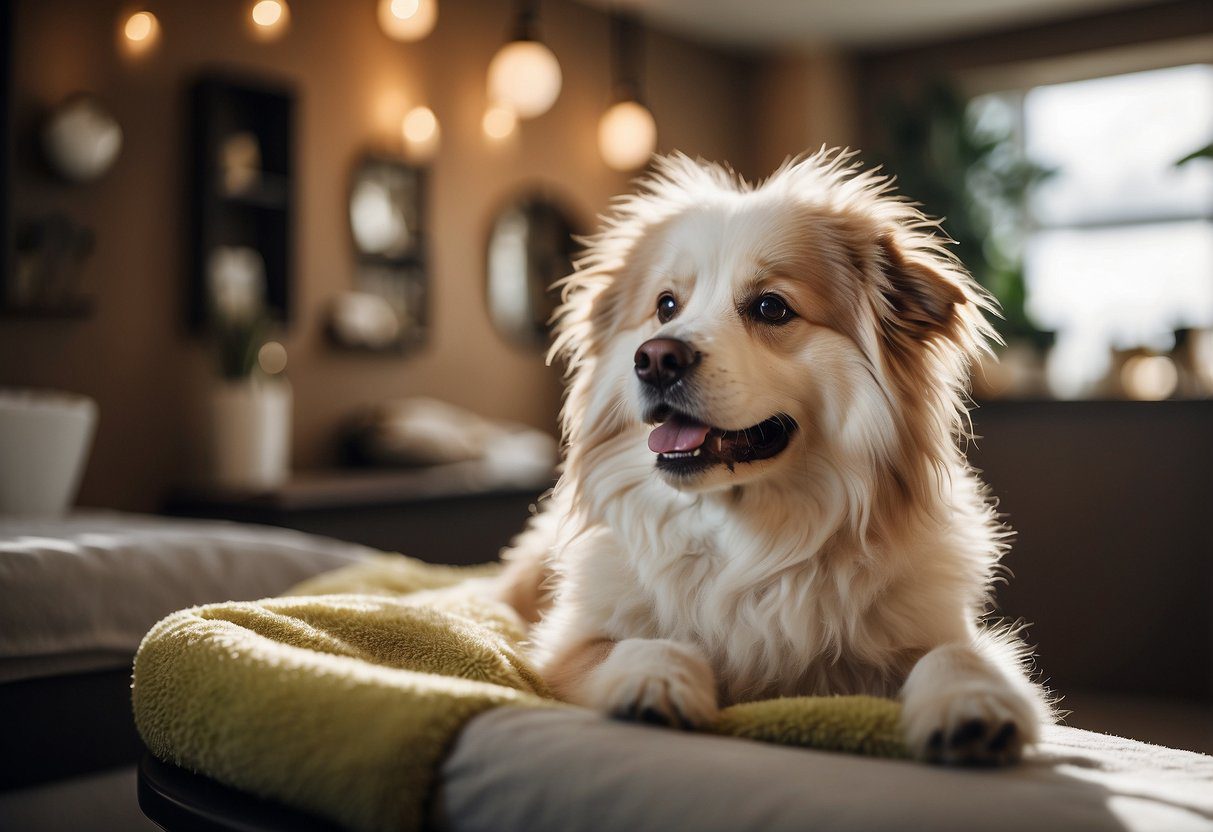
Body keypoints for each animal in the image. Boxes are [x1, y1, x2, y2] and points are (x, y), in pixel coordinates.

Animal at [499, 149, 1052, 771]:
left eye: (770, 307)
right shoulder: (567, 648)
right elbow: (643, 642)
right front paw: (656, 683)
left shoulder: (939, 636)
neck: (744, 535)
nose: (656, 358)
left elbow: (956, 656)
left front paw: (973, 706)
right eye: (666, 306)